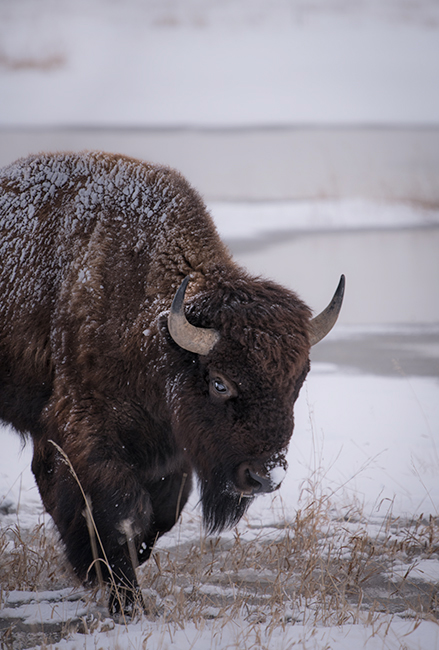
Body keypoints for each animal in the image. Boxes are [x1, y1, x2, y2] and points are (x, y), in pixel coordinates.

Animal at [0, 151, 346, 612]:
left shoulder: (171, 450)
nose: (264, 477)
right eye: (220, 383)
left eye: (299, 380)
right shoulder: (85, 433)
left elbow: (162, 514)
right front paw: (124, 599)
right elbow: (119, 513)